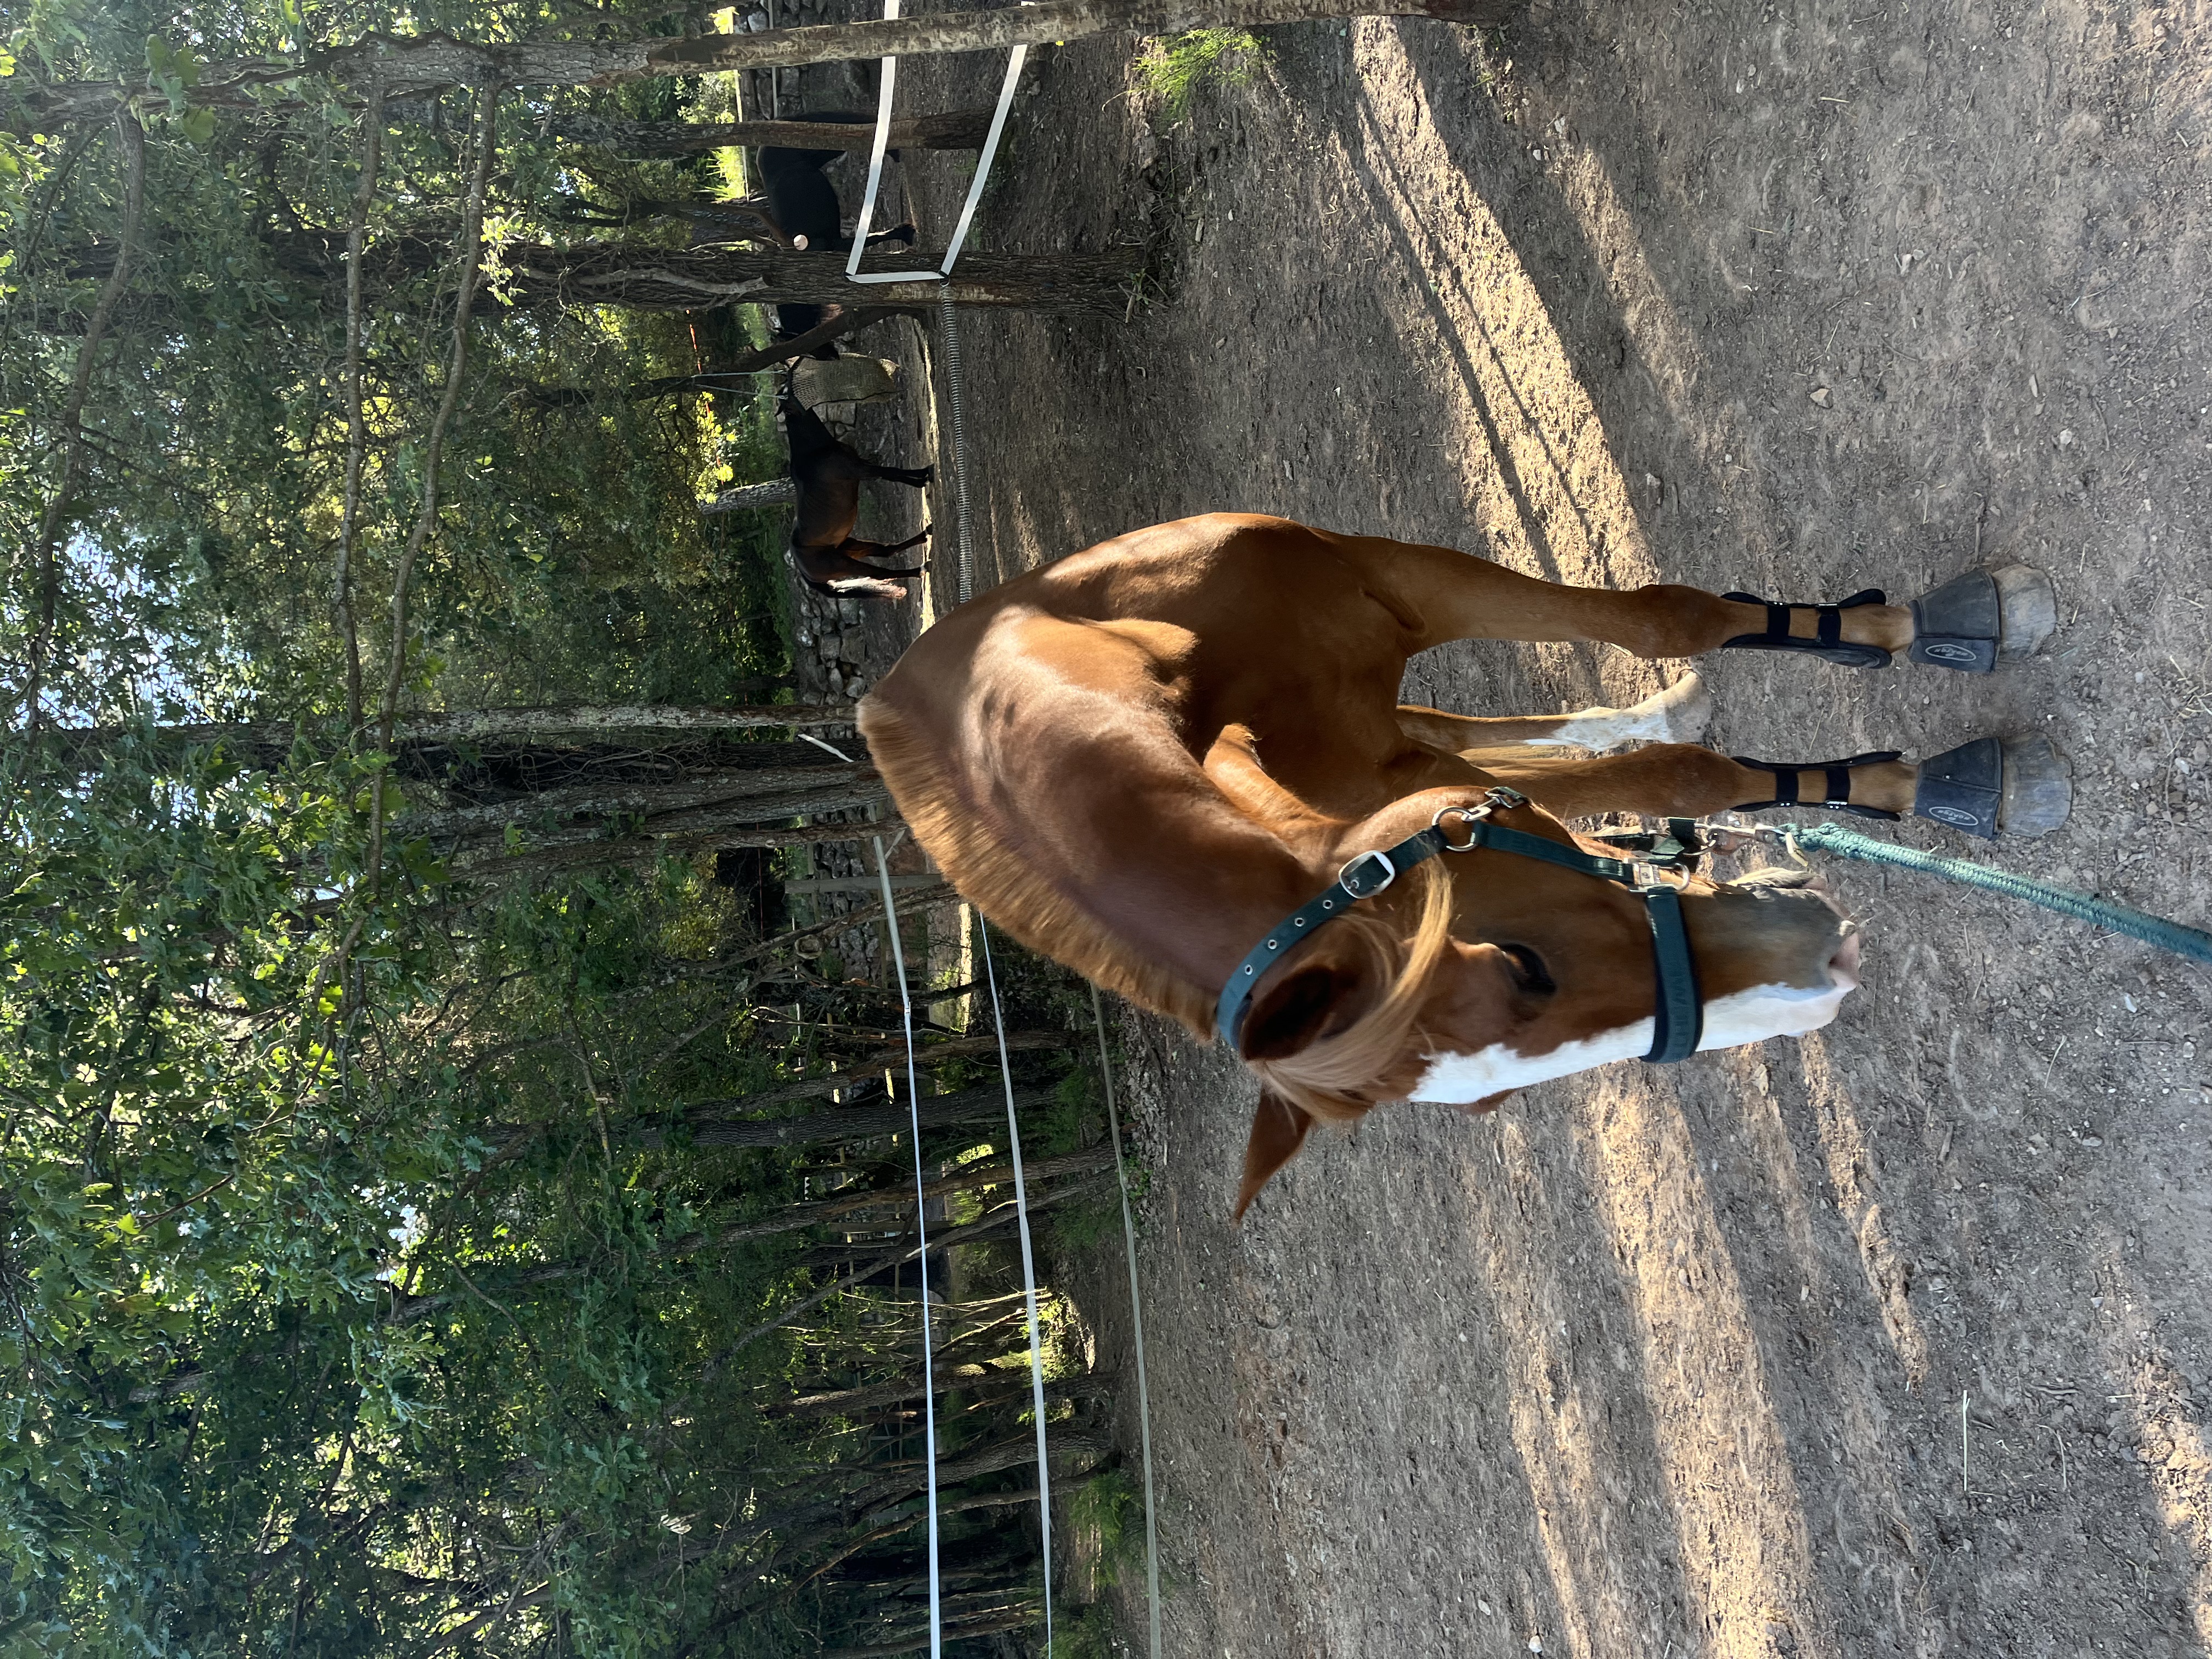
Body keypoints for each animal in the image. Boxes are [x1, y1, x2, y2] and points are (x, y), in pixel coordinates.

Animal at [782, 393, 931, 600]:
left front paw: (923, 478)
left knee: (886, 551)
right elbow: (892, 472)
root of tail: (802, 569)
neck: (815, 452)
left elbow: (893, 474)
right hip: (844, 563)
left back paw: (927, 533)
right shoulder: (861, 470)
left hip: (850, 547)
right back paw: (921, 569)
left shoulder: (862, 466)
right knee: (880, 572)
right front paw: (925, 475)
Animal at [856, 514, 2066, 1215]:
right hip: (1402, 741)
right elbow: (1667, 780)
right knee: (1510, 737)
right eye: (1494, 1106)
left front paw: (1914, 721)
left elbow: (1664, 634)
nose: (1811, 986)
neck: (1077, 674)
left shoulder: (1400, 587)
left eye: (1525, 968)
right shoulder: (1406, 783)